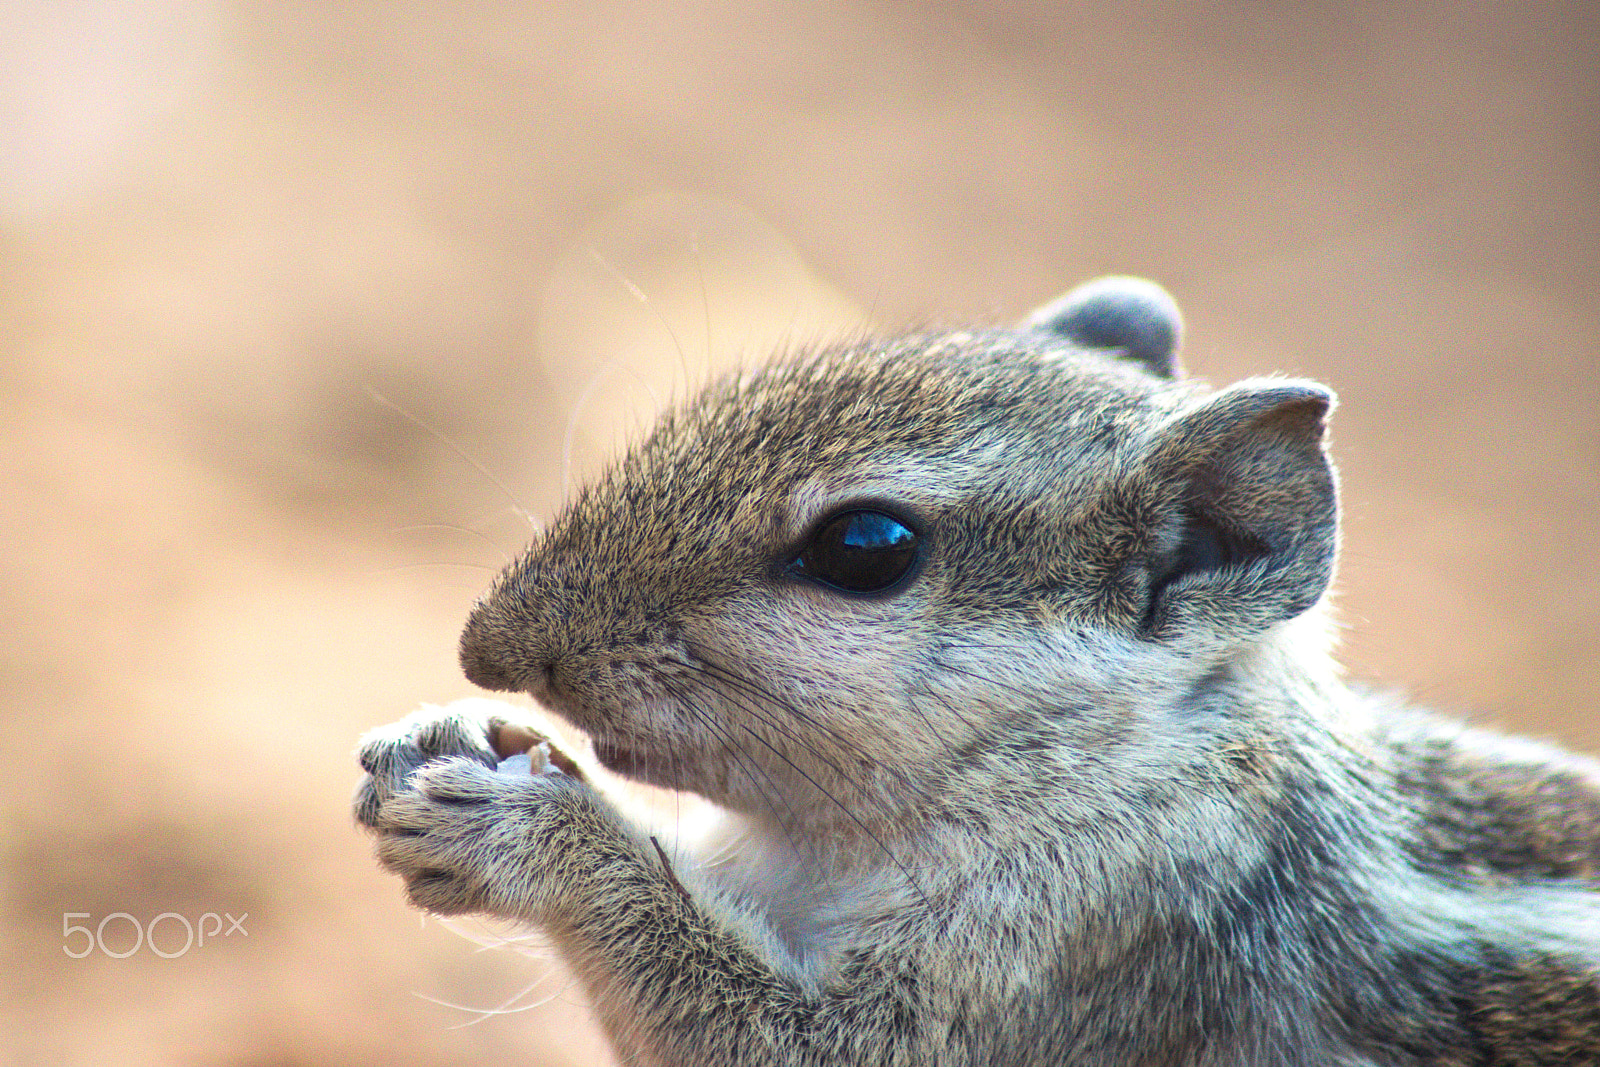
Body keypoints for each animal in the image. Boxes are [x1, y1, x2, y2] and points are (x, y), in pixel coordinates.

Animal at [355, 276, 1600, 1065]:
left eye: (866, 547)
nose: (487, 644)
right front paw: (439, 739)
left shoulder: (1088, 941)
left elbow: (783, 1039)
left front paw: (534, 836)